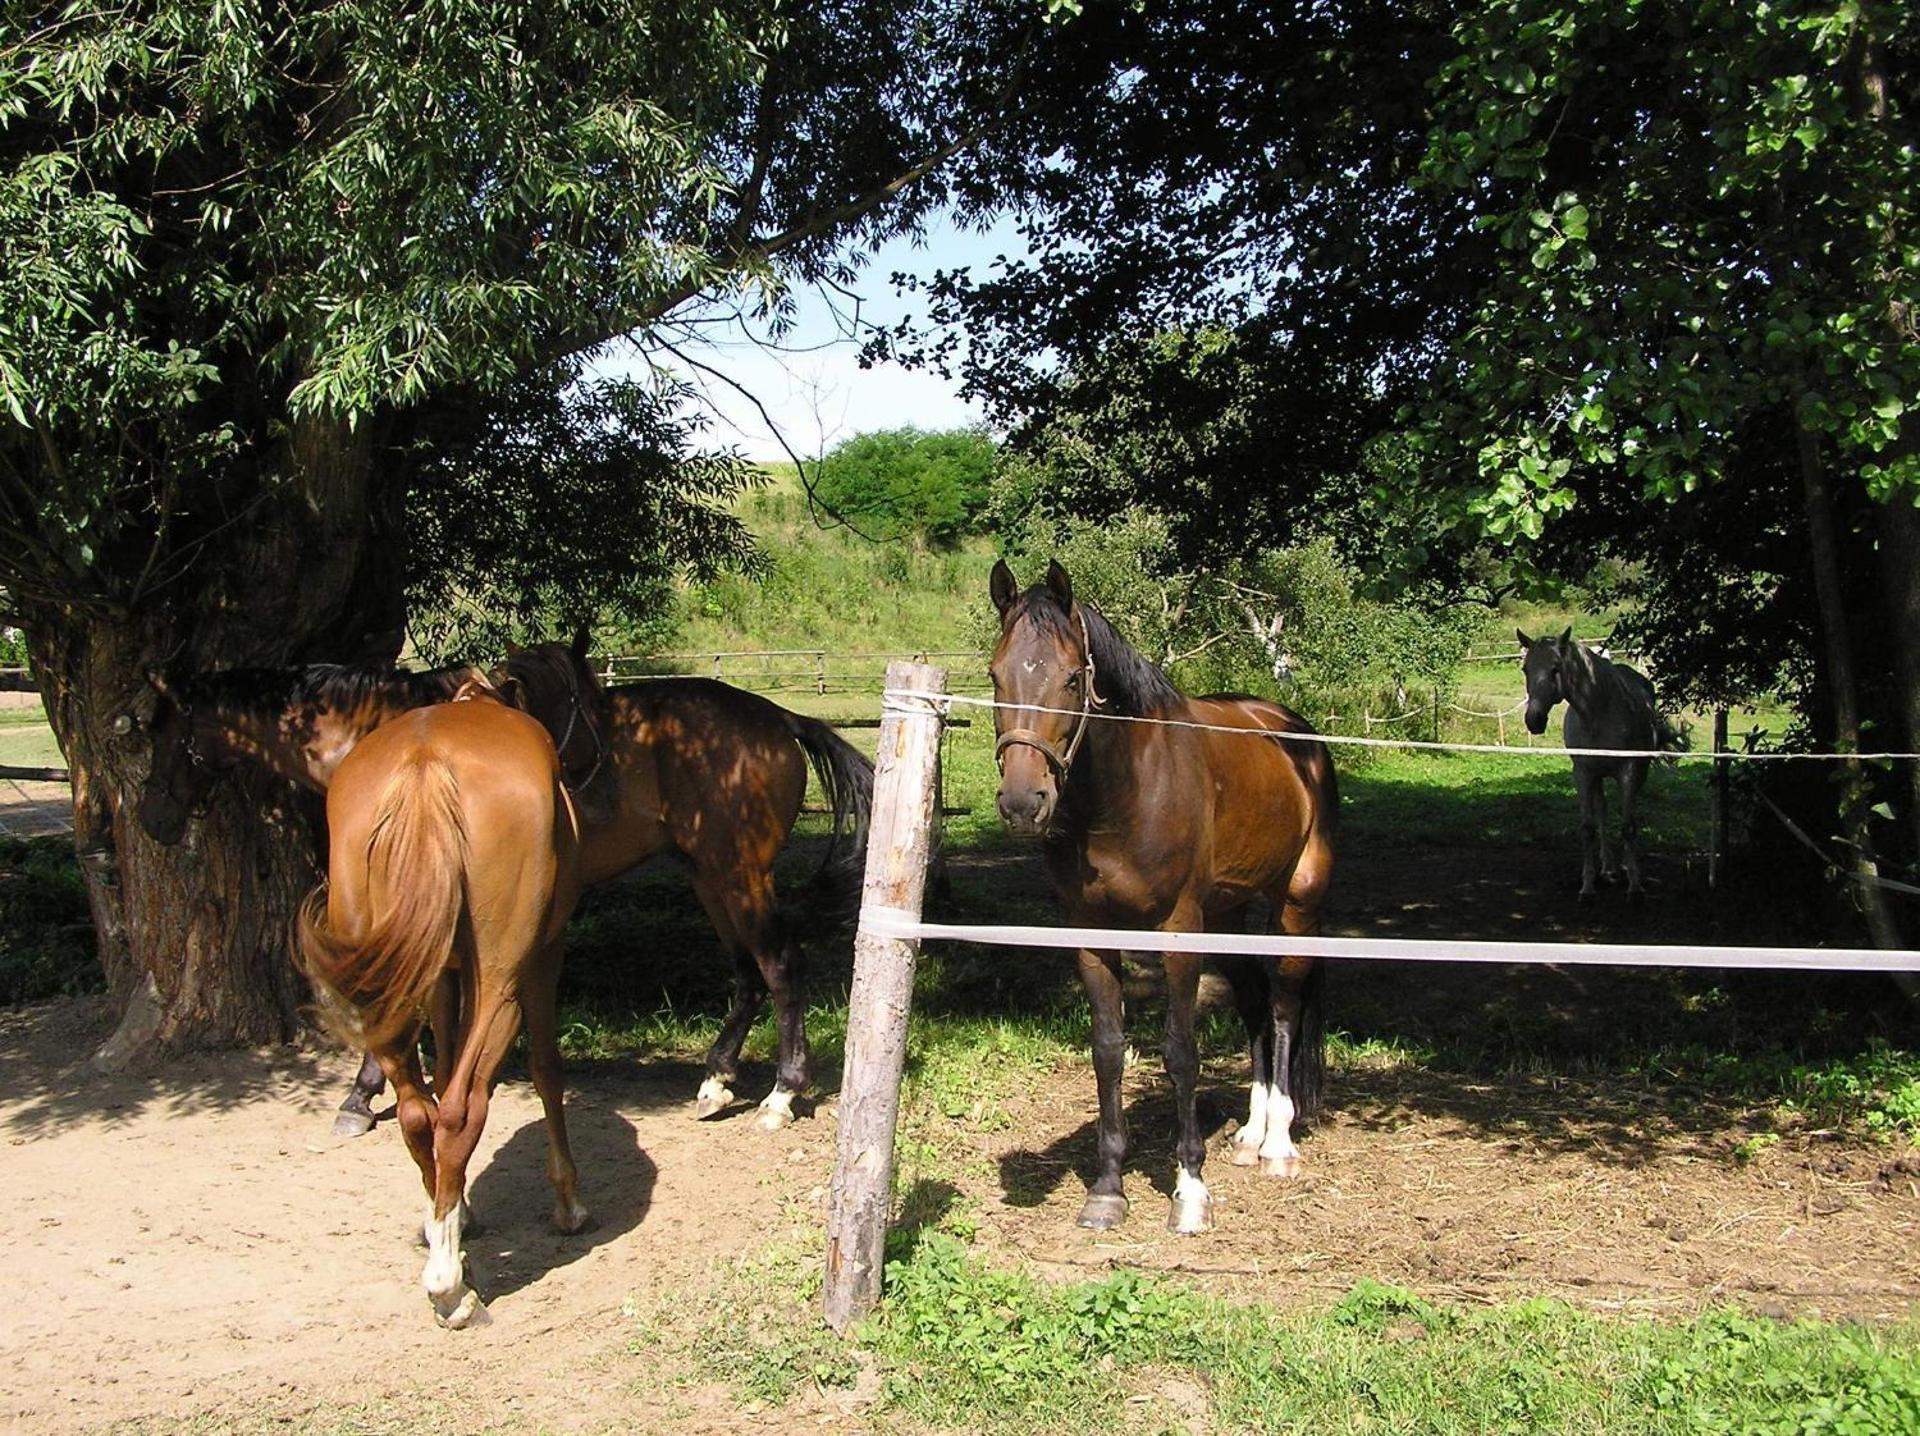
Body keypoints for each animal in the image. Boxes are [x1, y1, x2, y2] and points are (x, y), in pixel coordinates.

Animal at [297, 691, 584, 1328]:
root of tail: (424, 763)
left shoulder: (438, 978)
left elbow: (444, 1065)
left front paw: (460, 1213)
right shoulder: (545, 957)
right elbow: (545, 1070)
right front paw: (570, 1202)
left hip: (390, 994)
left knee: (417, 1112)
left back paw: (445, 1238)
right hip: (503, 983)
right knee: (458, 1110)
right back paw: (450, 1288)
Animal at [492, 634, 874, 1131]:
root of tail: (778, 718)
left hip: (742, 875)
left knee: (780, 965)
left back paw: (781, 1093)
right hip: (710, 876)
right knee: (749, 972)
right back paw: (717, 1078)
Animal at [989, 559, 1338, 1234]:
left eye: (1071, 678)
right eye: (995, 675)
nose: (1023, 803)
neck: (1126, 794)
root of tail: (1292, 731)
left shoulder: (1178, 930)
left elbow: (1180, 1050)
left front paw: (1190, 1188)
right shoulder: (1091, 934)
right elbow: (1108, 1049)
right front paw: (1107, 1189)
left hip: (1297, 903)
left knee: (1284, 1004)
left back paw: (1279, 1144)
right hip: (1227, 915)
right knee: (1255, 1005)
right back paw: (1250, 1136)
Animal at [1517, 628, 1675, 898]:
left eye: (1555, 668)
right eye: (1526, 669)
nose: (1534, 720)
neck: (1598, 713)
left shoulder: (1629, 771)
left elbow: (1628, 826)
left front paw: (1635, 886)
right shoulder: (1583, 773)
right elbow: (1588, 828)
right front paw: (1588, 886)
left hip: (1638, 773)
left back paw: (1624, 867)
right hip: (1598, 776)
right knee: (1602, 811)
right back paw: (1608, 869)